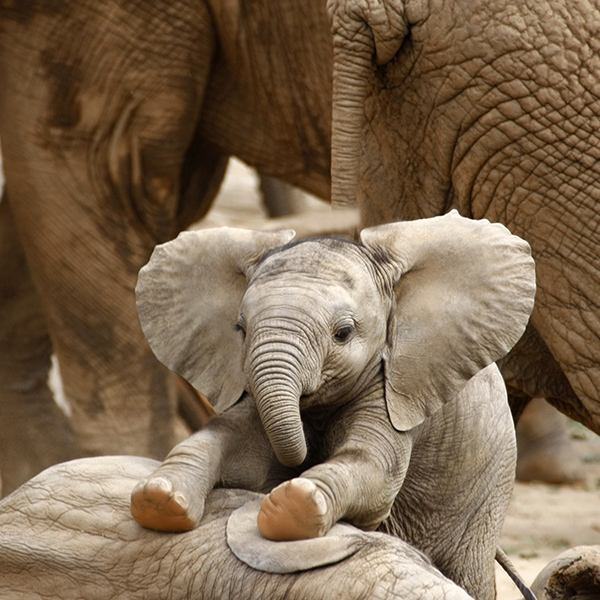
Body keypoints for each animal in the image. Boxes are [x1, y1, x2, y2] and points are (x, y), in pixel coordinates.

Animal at [130, 211, 536, 600]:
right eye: (240, 330)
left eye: (342, 334)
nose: (301, 460)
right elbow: (235, 442)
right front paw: (159, 498)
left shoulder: (397, 385)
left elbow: (374, 469)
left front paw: (292, 504)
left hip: (488, 490)